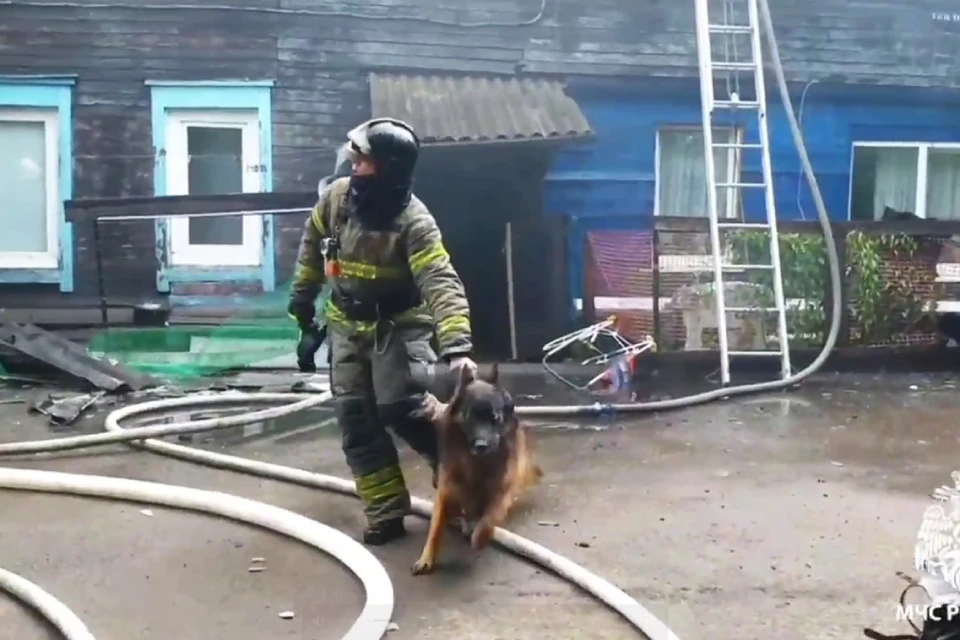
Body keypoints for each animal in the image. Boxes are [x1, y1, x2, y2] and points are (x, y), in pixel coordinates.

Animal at [410, 362, 540, 576]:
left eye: (494, 418)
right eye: (471, 418)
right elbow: (435, 527)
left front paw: (479, 538)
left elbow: (489, 519)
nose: (481, 446)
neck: (476, 463)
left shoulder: (502, 489)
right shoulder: (447, 489)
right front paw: (426, 558)